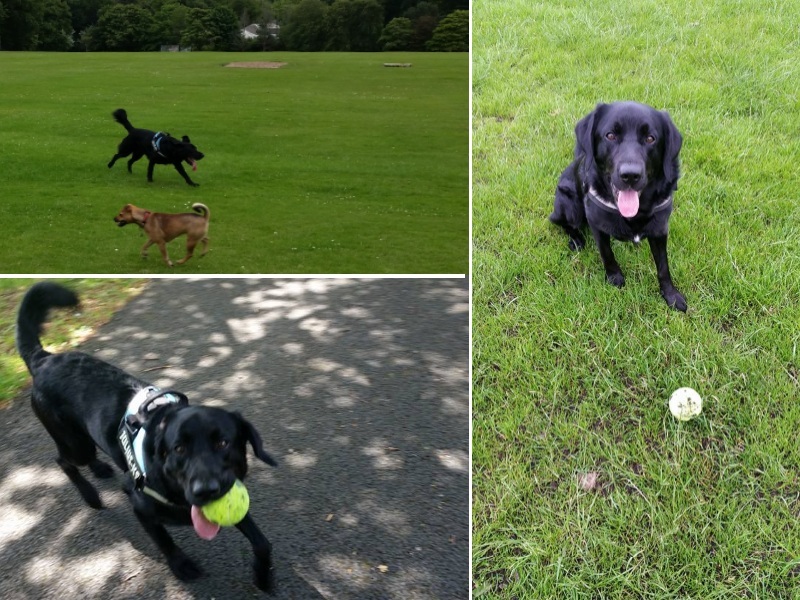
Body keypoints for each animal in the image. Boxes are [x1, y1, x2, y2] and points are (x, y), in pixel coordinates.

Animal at [17, 284, 278, 592]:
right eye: (178, 448)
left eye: (223, 443)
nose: (205, 490)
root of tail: (44, 358)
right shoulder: (139, 503)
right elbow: (164, 541)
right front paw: (181, 565)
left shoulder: (232, 485)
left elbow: (262, 542)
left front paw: (263, 576)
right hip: (76, 444)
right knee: (62, 461)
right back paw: (90, 495)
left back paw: (100, 468)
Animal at [552, 101, 688, 312]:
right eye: (610, 135)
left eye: (650, 138)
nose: (630, 175)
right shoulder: (596, 224)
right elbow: (606, 253)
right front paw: (614, 277)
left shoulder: (660, 230)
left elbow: (663, 266)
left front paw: (671, 295)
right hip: (569, 205)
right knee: (562, 223)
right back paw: (576, 240)